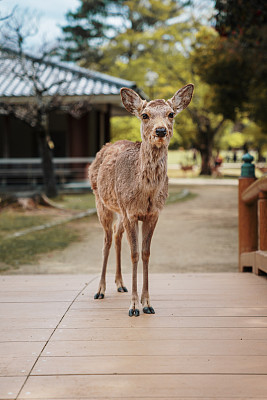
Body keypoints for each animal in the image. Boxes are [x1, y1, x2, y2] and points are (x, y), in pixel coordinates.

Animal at [90, 83, 195, 316]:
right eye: (145, 115)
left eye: (171, 114)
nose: (161, 130)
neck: (145, 193)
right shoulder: (131, 213)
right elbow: (134, 254)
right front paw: (133, 306)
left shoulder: (152, 214)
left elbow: (146, 253)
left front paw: (147, 303)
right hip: (102, 203)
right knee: (106, 240)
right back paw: (100, 290)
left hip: (119, 210)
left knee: (117, 236)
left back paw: (120, 284)